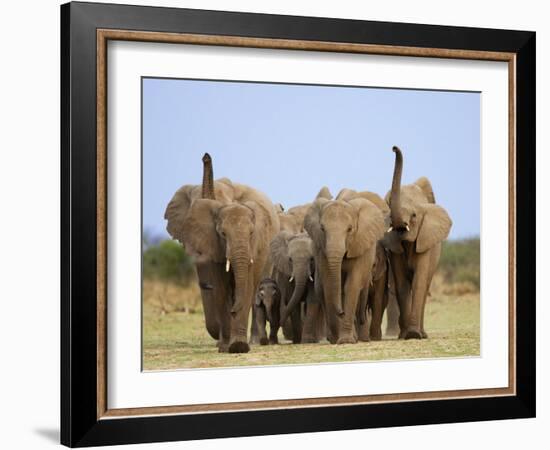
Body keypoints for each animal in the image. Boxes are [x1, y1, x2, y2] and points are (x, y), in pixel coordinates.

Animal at [164, 153, 280, 354]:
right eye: (222, 233)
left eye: (251, 233)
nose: (206, 156)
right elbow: (219, 288)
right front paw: (226, 346)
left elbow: (245, 286)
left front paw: (239, 346)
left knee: (255, 290)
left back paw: (254, 341)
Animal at [306, 191, 388, 344]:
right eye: (322, 229)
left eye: (350, 229)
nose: (341, 312)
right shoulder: (321, 250)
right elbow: (329, 285)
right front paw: (339, 339)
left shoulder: (359, 245)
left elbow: (351, 285)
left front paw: (346, 341)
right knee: (322, 290)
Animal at [382, 146, 454, 340]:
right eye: (388, 206)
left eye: (414, 215)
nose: (393, 148)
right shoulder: (395, 247)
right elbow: (401, 284)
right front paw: (406, 335)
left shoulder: (425, 240)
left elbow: (419, 281)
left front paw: (413, 335)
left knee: (425, 284)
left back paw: (423, 334)